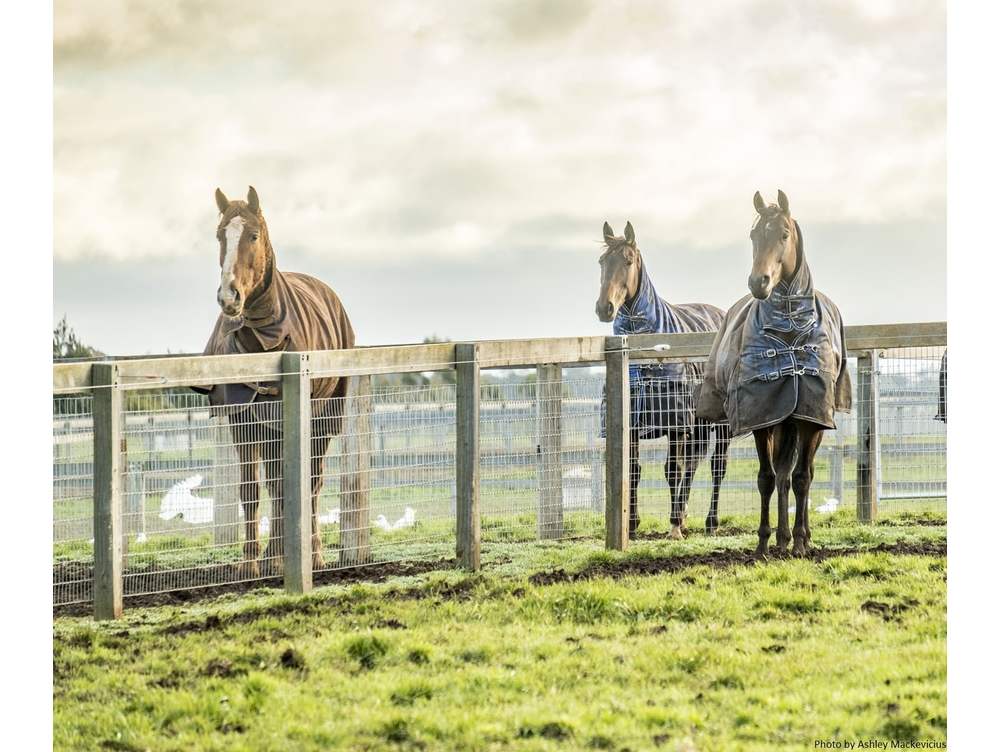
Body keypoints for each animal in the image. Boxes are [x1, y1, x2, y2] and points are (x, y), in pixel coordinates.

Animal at [195, 187, 356, 576]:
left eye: (253, 235)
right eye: (220, 235)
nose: (229, 297)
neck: (262, 340)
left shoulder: (284, 420)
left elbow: (285, 485)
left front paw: (277, 558)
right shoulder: (243, 420)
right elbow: (252, 488)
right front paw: (251, 562)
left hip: (323, 419)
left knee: (312, 481)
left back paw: (313, 553)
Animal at [596, 220, 732, 536]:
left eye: (628, 260)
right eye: (602, 262)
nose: (604, 308)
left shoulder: (675, 424)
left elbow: (673, 470)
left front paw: (673, 527)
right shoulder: (632, 425)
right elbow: (633, 471)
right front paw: (632, 525)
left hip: (720, 425)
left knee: (716, 466)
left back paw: (709, 522)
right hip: (699, 424)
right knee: (694, 462)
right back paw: (684, 514)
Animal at [696, 191, 852, 556]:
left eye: (783, 234)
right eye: (754, 235)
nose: (759, 282)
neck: (789, 326)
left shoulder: (810, 419)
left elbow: (802, 478)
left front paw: (799, 541)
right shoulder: (764, 418)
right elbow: (767, 478)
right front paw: (765, 541)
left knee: (800, 474)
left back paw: (801, 536)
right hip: (782, 424)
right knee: (780, 475)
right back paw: (781, 538)